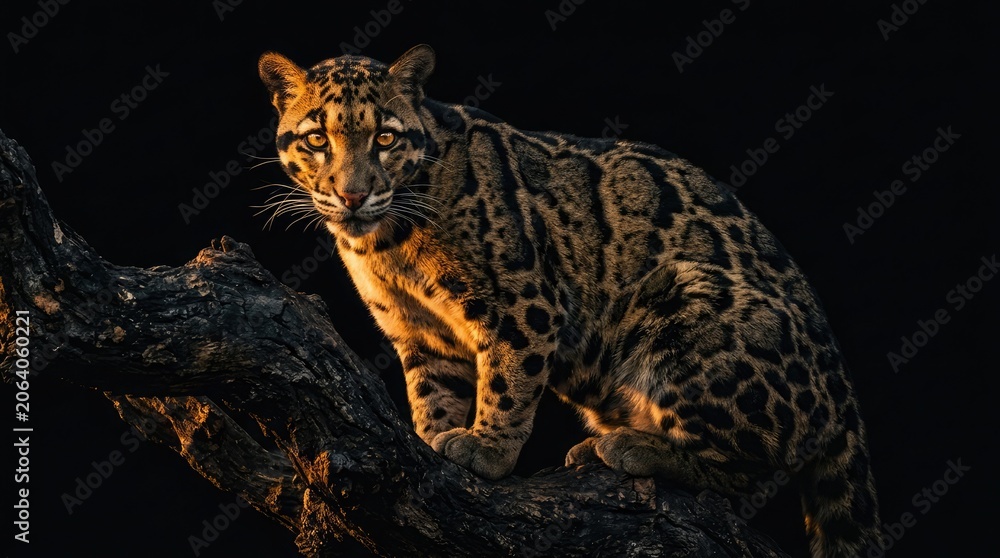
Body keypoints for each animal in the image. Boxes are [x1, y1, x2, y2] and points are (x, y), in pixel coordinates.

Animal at [258, 44, 880, 557]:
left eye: (384, 139)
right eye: (317, 140)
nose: (352, 194)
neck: (384, 245)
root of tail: (843, 393)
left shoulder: (524, 299)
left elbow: (507, 382)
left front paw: (487, 449)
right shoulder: (419, 332)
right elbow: (431, 392)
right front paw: (433, 438)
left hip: (686, 295)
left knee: (752, 467)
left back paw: (633, 448)